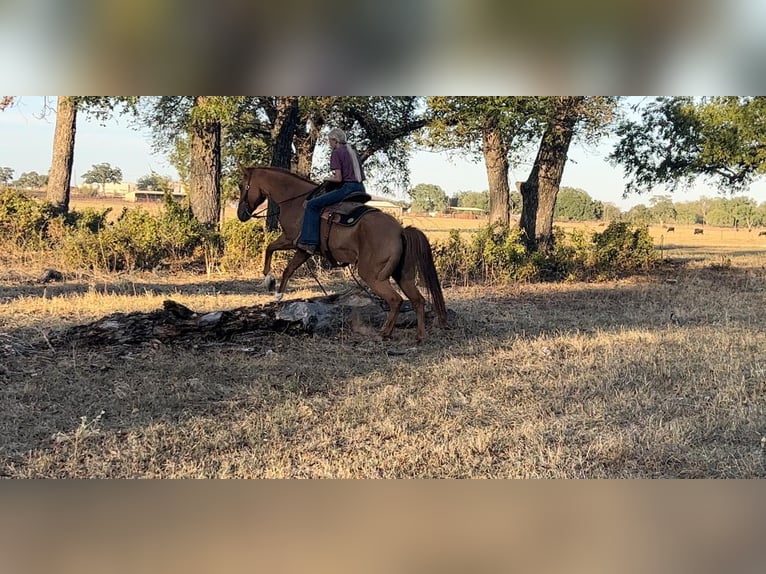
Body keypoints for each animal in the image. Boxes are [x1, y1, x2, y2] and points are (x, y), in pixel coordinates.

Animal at [237, 166, 448, 342]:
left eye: (241, 185)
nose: (241, 214)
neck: (296, 200)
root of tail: (400, 231)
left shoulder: (291, 240)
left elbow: (270, 248)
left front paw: (269, 281)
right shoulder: (303, 249)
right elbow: (288, 268)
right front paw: (278, 294)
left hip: (373, 276)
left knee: (396, 300)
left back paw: (385, 333)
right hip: (403, 276)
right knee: (418, 300)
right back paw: (419, 336)